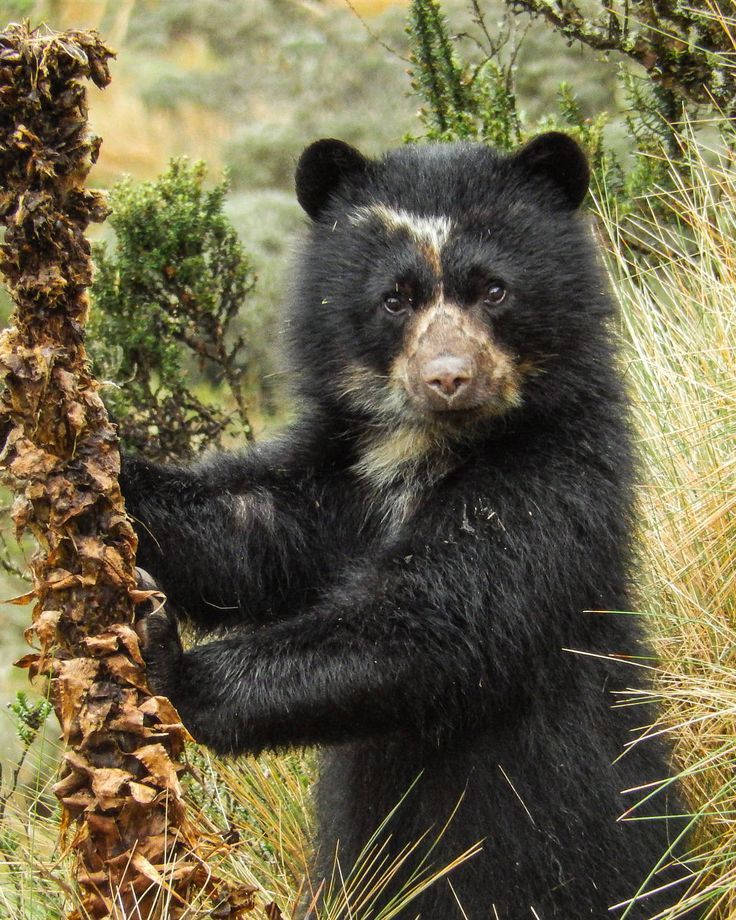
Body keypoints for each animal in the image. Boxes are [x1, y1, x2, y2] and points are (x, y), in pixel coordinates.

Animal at [121, 133, 688, 916]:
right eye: (396, 297)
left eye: (493, 289)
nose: (448, 378)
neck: (428, 446)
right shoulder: (343, 480)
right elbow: (251, 530)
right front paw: (100, 463)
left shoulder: (555, 477)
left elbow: (441, 622)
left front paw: (167, 658)